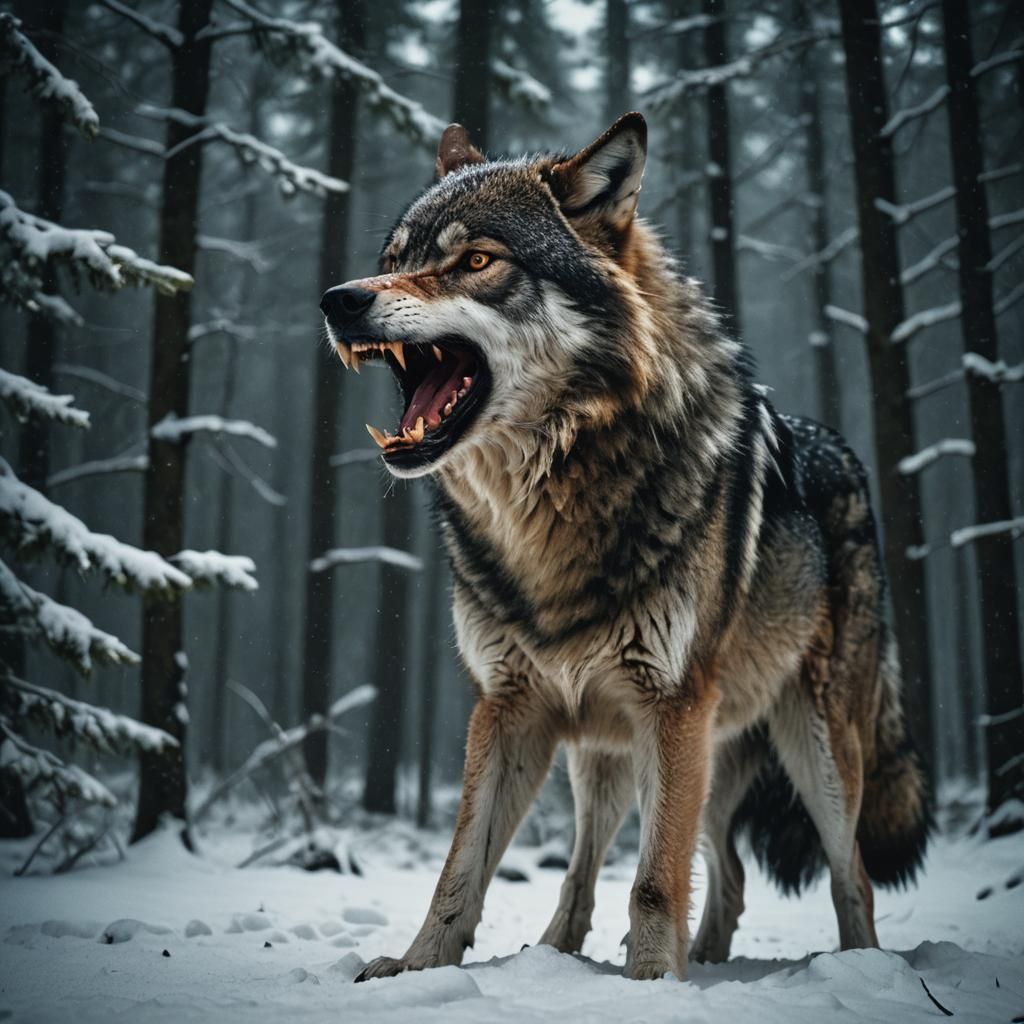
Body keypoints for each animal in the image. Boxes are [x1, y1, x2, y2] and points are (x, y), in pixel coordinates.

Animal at [320, 113, 930, 983]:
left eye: (475, 262)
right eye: (393, 260)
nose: (340, 301)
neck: (553, 509)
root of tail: (843, 453)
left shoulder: (671, 705)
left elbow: (653, 881)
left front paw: (651, 985)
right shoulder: (508, 706)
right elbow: (459, 869)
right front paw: (415, 969)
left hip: (809, 747)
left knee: (849, 876)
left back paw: (855, 969)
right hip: (610, 754)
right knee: (644, 872)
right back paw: (625, 956)